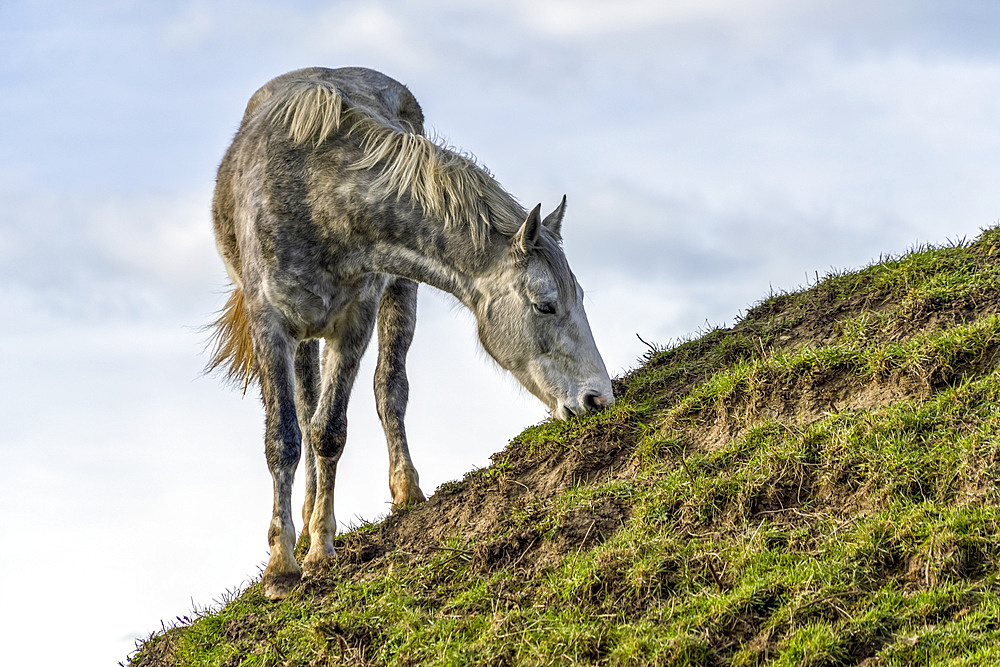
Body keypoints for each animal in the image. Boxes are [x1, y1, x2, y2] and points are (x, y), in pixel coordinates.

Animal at [207, 68, 612, 600]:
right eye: (545, 303)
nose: (598, 398)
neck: (318, 200)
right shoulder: (269, 325)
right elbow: (285, 438)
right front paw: (281, 566)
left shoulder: (355, 321)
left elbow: (329, 430)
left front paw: (319, 550)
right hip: (304, 336)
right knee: (306, 402)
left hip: (399, 292)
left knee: (386, 389)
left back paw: (402, 491)